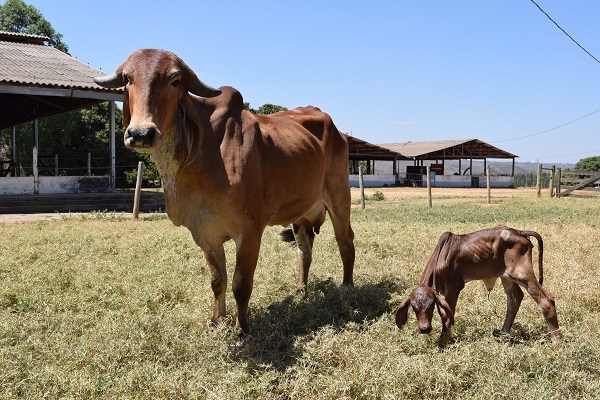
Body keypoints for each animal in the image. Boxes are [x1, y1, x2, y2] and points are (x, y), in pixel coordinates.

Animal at [94, 49, 354, 338]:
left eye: (175, 81)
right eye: (127, 79)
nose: (141, 133)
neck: (200, 154)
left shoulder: (250, 230)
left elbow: (241, 284)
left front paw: (242, 330)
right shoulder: (204, 233)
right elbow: (218, 280)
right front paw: (217, 320)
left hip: (339, 196)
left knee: (345, 242)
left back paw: (347, 287)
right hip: (301, 216)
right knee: (304, 251)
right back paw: (301, 290)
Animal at [396, 227, 560, 342]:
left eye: (431, 306)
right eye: (414, 308)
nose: (424, 329)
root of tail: (519, 232)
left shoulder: (454, 286)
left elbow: (446, 315)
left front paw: (443, 341)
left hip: (521, 273)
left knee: (546, 299)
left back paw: (556, 341)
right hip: (506, 276)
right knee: (515, 297)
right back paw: (503, 332)